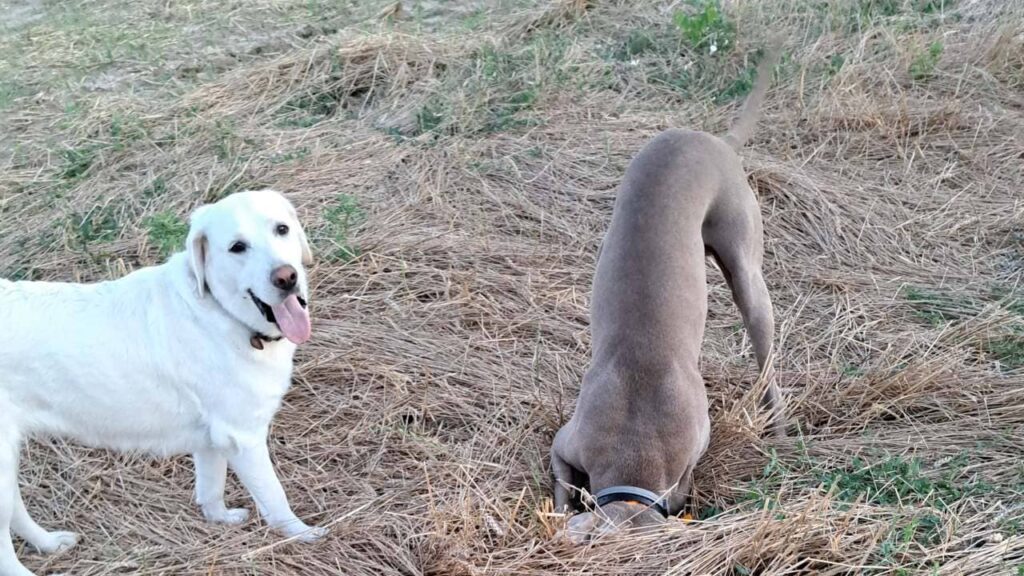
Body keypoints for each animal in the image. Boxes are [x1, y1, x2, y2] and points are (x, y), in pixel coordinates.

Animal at [0, 189, 325, 573]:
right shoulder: (243, 438)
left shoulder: (212, 440)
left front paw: (220, 519)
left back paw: (49, 543)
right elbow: (276, 497)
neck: (219, 312)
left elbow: (211, 487)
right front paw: (303, 535)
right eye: (237, 247)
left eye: (281, 229)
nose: (286, 277)